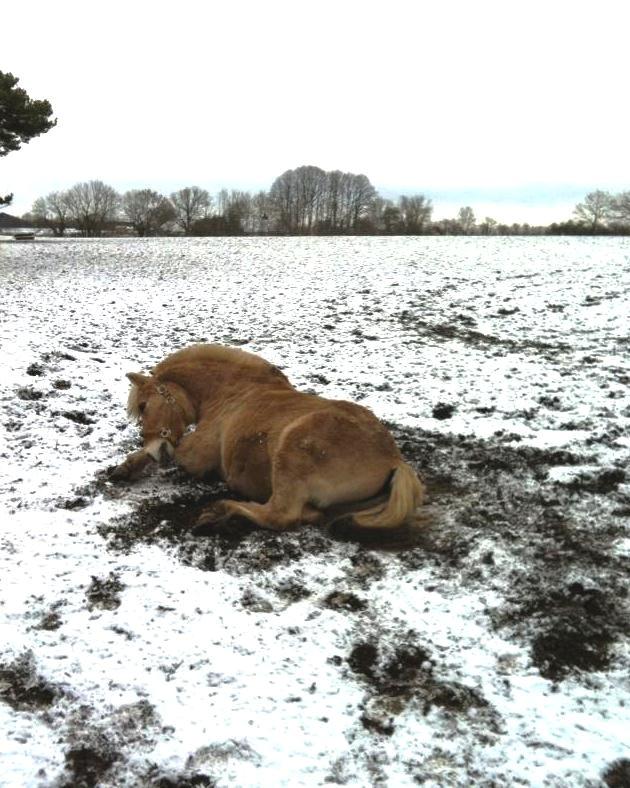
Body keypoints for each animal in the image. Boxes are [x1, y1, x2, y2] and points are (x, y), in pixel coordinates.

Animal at [111, 344, 428, 532]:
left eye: (143, 406)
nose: (153, 448)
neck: (230, 391)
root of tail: (395, 460)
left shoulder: (197, 456)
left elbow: (175, 454)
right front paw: (126, 467)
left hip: (291, 454)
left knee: (281, 515)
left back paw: (219, 512)